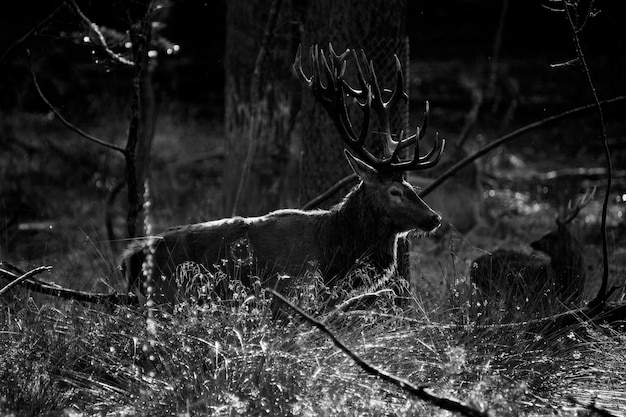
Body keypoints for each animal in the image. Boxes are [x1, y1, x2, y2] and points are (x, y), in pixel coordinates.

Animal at [122, 44, 444, 306]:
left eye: (412, 186)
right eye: (394, 191)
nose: (435, 217)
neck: (334, 260)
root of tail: (131, 259)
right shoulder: (286, 293)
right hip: (169, 295)